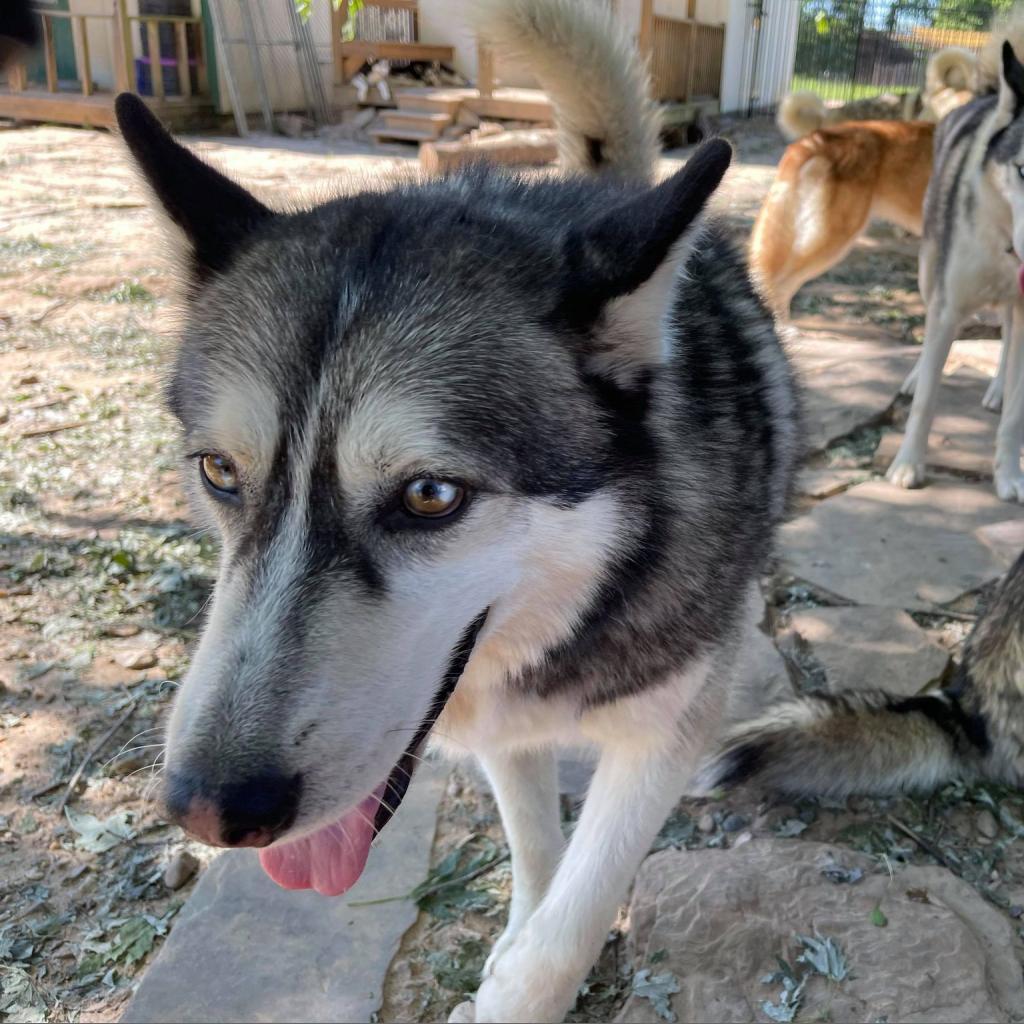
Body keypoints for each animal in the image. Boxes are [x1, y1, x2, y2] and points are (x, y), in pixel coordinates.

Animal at [117, 0, 798, 1015]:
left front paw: (527, 980)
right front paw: (517, 934)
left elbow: (574, 918)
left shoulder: (668, 732)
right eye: (220, 472)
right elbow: (538, 853)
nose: (205, 807)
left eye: (430, 495)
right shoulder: (503, 732)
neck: (577, 625)